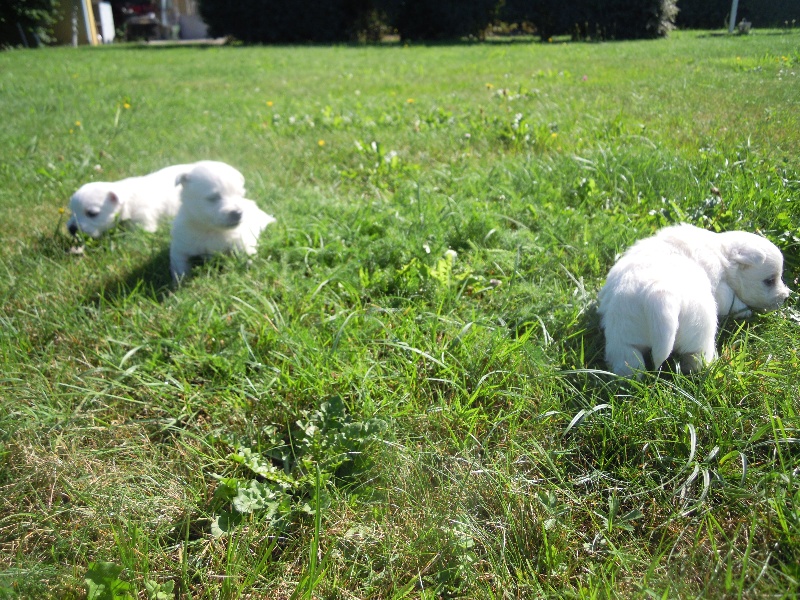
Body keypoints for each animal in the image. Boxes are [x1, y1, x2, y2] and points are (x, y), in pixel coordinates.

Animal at [596, 223, 792, 378]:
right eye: (770, 281)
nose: (786, 296)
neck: (722, 254)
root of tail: (658, 294)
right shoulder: (721, 288)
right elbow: (732, 300)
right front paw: (746, 312)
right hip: (701, 328)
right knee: (697, 356)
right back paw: (710, 366)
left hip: (622, 337)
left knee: (627, 360)